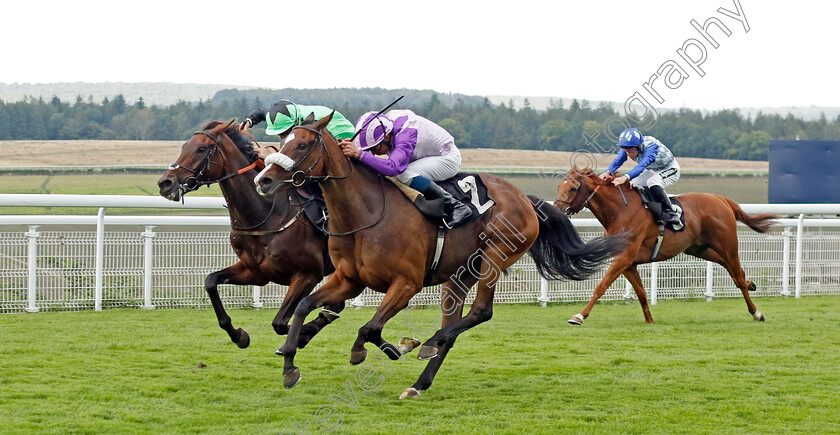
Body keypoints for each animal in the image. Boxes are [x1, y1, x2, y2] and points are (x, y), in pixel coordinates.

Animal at [158, 121, 342, 352]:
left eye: (201, 149)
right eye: (184, 146)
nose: (165, 183)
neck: (267, 213)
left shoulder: (307, 275)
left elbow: (280, 322)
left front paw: (302, 335)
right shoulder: (255, 272)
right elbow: (210, 281)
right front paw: (238, 335)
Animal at [249, 114, 624, 400]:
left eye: (301, 145)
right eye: (283, 141)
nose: (263, 180)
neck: (364, 213)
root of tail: (525, 199)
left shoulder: (407, 283)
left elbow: (370, 328)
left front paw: (391, 346)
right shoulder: (348, 280)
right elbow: (302, 307)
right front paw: (290, 367)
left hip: (495, 257)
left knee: (480, 312)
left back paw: (428, 345)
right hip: (459, 276)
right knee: (452, 328)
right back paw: (419, 382)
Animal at [556, 167, 776, 328]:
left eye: (573, 188)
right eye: (560, 185)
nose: (557, 210)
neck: (620, 211)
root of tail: (721, 199)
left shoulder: (623, 259)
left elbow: (601, 287)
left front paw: (579, 316)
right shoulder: (628, 263)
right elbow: (641, 293)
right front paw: (650, 320)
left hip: (728, 246)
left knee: (737, 276)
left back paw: (756, 312)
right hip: (700, 249)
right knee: (736, 272)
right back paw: (751, 284)